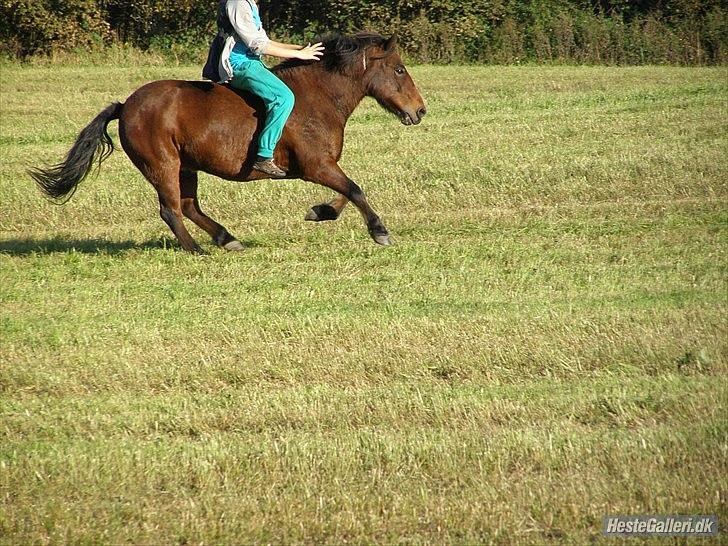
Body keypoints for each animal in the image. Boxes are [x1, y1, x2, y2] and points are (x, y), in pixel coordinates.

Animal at [29, 35, 426, 252]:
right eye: (399, 69)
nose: (420, 110)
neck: (318, 97)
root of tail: (126, 104)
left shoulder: (323, 166)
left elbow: (346, 193)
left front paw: (319, 211)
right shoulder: (316, 166)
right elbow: (355, 189)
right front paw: (380, 232)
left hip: (185, 166)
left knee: (188, 207)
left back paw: (226, 238)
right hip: (162, 165)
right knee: (171, 210)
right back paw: (196, 250)